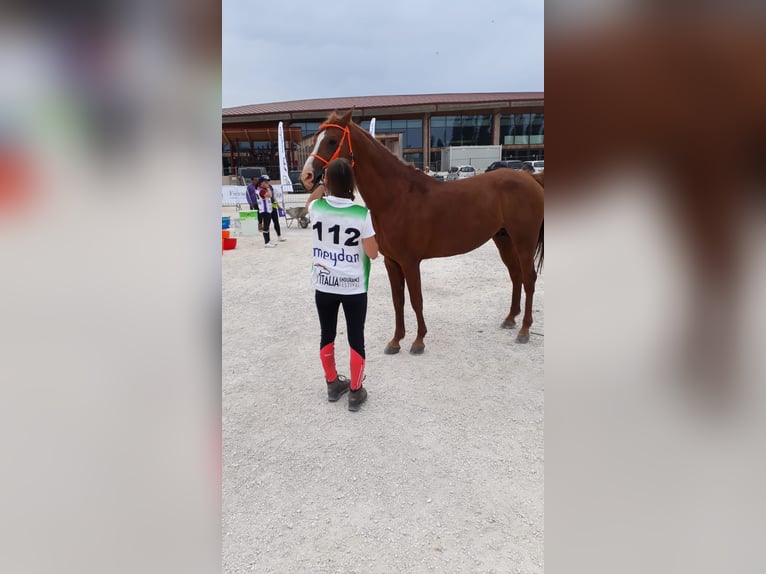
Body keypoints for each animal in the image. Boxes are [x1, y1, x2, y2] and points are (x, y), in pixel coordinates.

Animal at [301, 109, 544, 355]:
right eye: (316, 140)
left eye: (332, 141)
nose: (307, 176)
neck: (397, 197)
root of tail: (530, 178)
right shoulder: (392, 262)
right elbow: (398, 301)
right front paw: (395, 341)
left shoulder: (410, 261)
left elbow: (416, 299)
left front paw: (418, 341)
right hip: (504, 239)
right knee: (515, 275)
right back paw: (510, 319)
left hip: (524, 242)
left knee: (529, 278)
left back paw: (524, 330)